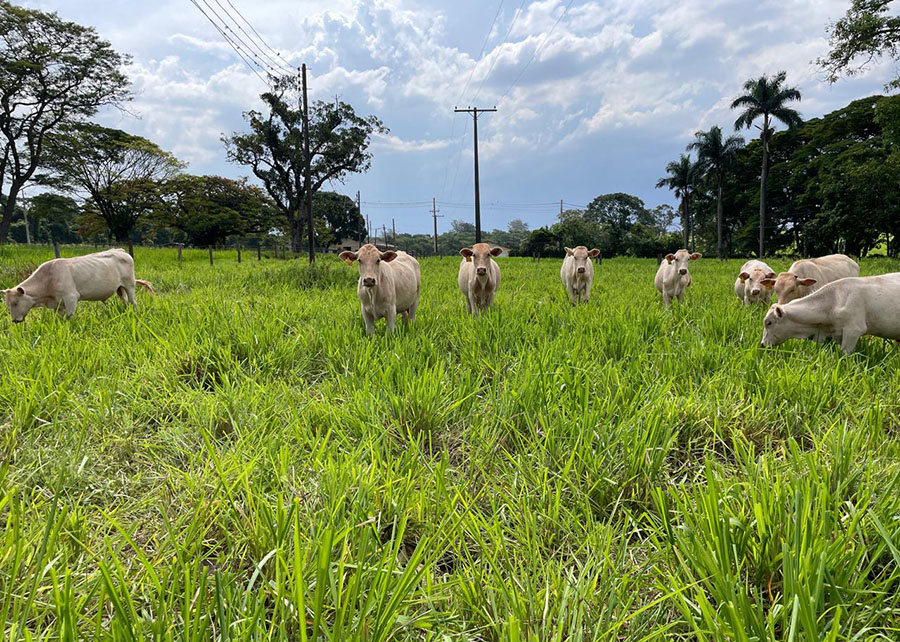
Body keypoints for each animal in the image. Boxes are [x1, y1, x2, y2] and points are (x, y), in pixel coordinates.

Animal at [3, 248, 155, 322]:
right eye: (8, 305)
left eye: (16, 303)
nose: (15, 321)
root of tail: (120, 251)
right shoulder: (57, 304)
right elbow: (60, 319)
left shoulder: (71, 297)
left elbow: (70, 317)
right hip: (119, 288)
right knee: (125, 301)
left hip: (129, 285)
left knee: (133, 302)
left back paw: (134, 313)